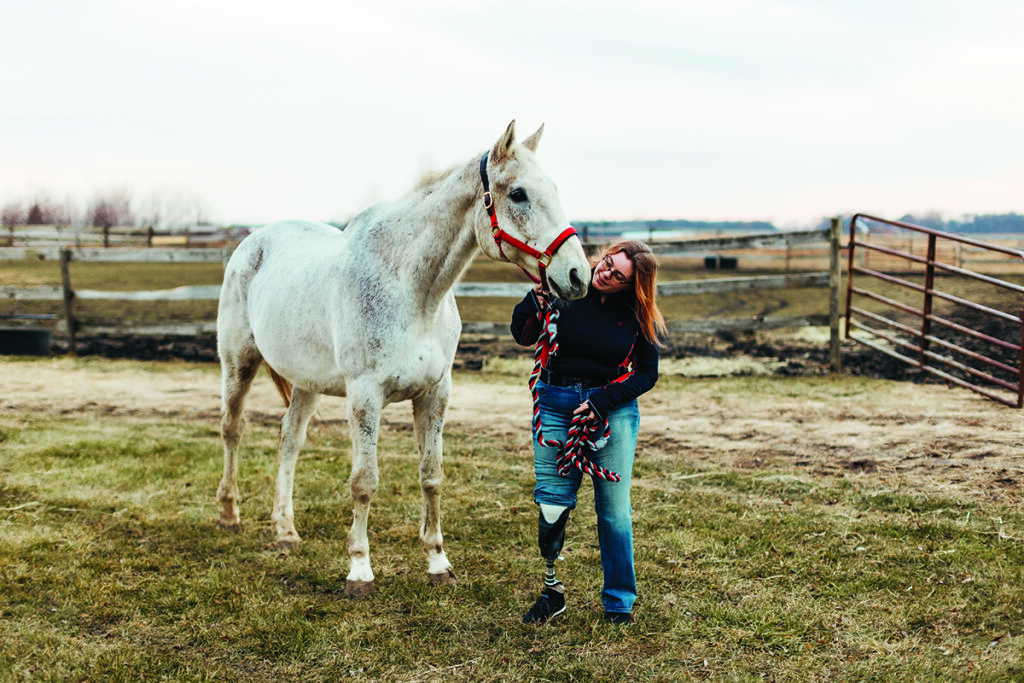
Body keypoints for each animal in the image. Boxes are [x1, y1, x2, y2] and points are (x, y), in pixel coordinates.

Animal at [214, 122, 593, 598]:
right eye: (519, 193)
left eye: (554, 188)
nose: (579, 275)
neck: (411, 290)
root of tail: (252, 242)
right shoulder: (364, 396)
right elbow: (364, 482)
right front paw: (359, 570)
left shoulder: (435, 393)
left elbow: (431, 475)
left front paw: (438, 562)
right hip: (239, 361)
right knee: (232, 429)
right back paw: (229, 514)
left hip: (306, 382)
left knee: (289, 441)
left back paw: (285, 531)